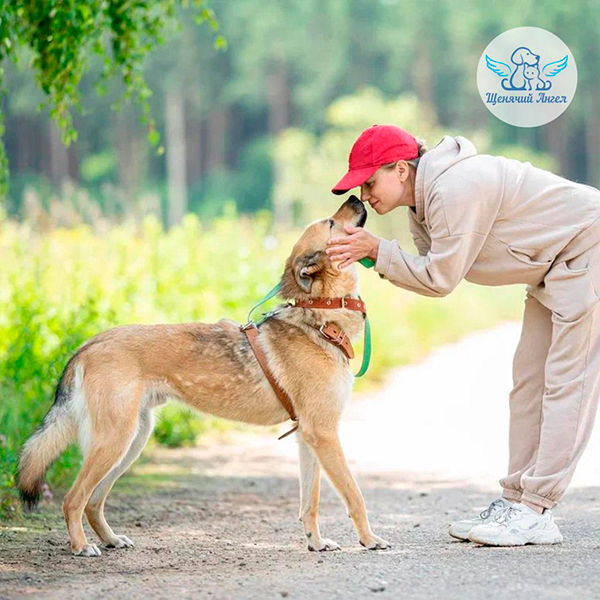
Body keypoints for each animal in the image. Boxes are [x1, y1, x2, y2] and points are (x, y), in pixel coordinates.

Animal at [17, 197, 390, 556]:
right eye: (331, 223)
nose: (356, 197)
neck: (320, 316)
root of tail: (88, 345)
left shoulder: (308, 437)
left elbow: (309, 503)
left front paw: (316, 543)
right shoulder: (324, 434)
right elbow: (355, 495)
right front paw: (369, 540)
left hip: (132, 440)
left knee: (93, 501)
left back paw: (110, 540)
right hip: (114, 441)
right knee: (73, 499)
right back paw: (82, 546)